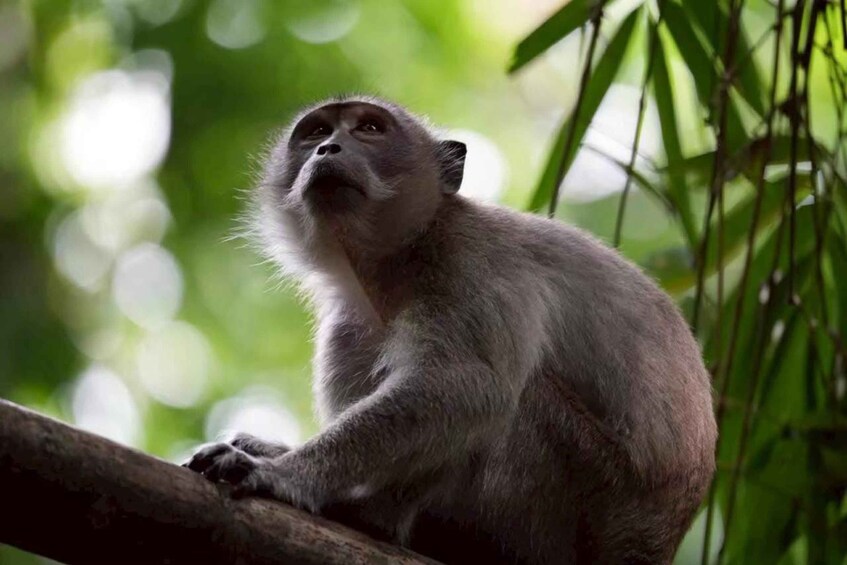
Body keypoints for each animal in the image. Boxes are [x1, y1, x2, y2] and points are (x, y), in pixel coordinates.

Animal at [184, 95, 717, 564]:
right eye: (316, 131)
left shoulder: (469, 263)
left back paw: (375, 516)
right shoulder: (346, 324)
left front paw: (284, 472)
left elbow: (465, 387)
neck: (401, 258)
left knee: (511, 397)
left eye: (369, 128)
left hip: (582, 507)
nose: (328, 149)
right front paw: (279, 453)